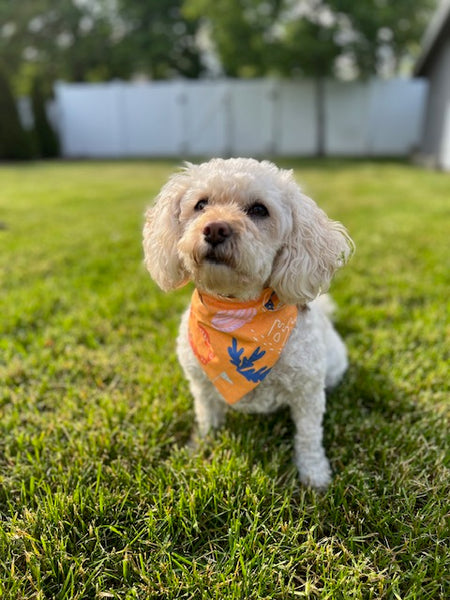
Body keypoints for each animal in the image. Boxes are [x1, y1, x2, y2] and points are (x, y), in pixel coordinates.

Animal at [142, 158, 354, 488]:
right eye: (201, 204)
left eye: (258, 210)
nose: (215, 229)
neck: (236, 311)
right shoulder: (201, 385)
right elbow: (207, 420)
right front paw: (199, 449)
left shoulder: (307, 392)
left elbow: (308, 436)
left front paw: (314, 473)